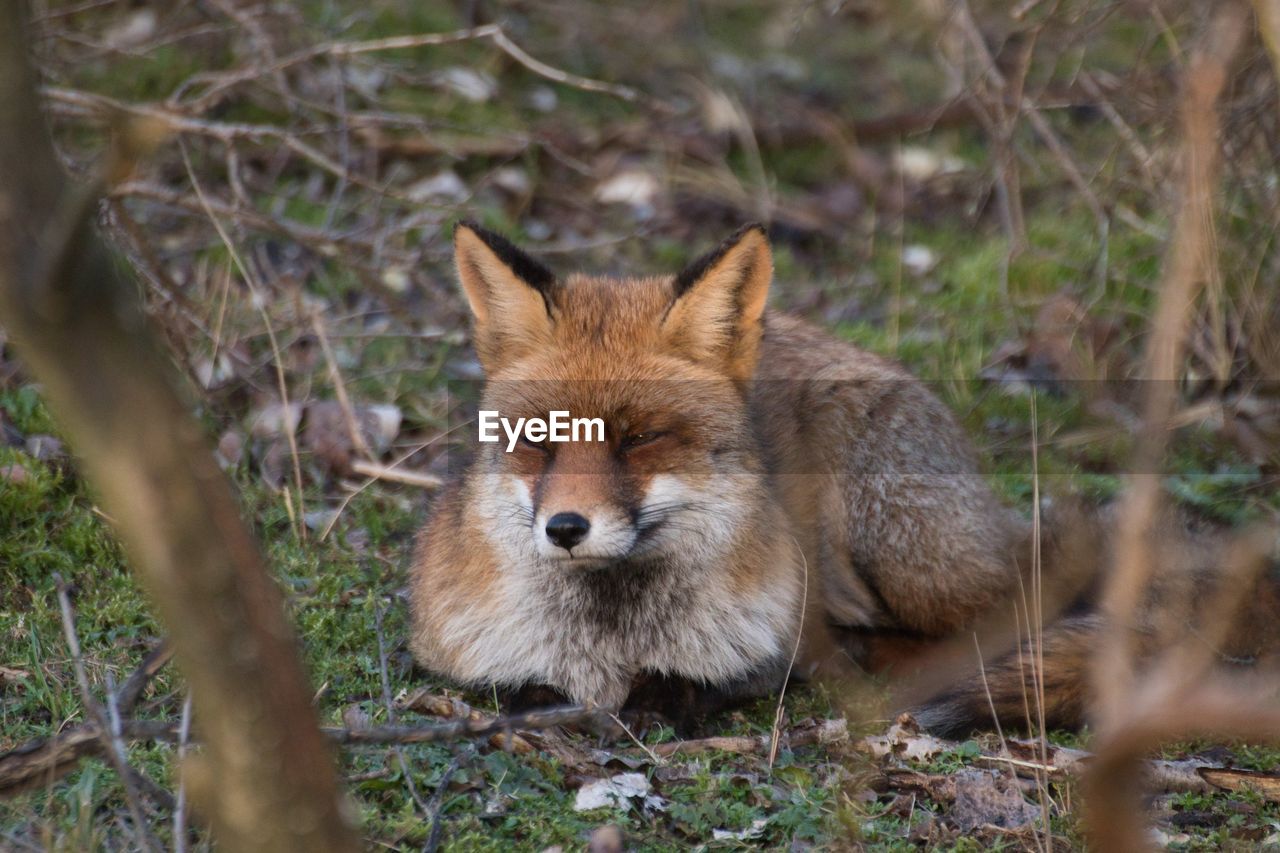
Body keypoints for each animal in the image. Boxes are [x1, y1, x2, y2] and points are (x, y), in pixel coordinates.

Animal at [412, 219, 1280, 732]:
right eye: (537, 440)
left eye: (641, 438)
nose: (565, 529)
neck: (608, 639)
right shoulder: (454, 653)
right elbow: (517, 688)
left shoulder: (768, 643)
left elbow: (711, 682)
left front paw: (666, 696)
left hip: (888, 539)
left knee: (1009, 616)